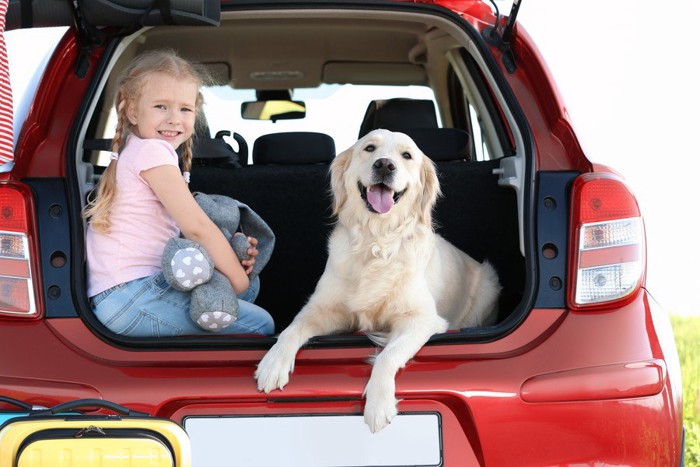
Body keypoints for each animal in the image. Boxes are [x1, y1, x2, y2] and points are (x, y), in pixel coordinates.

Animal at [254, 130, 500, 434]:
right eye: (369, 148)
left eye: (407, 155)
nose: (385, 165)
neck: (376, 239)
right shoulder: (322, 309)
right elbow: (292, 329)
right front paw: (273, 363)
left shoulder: (422, 319)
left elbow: (387, 356)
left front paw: (378, 403)